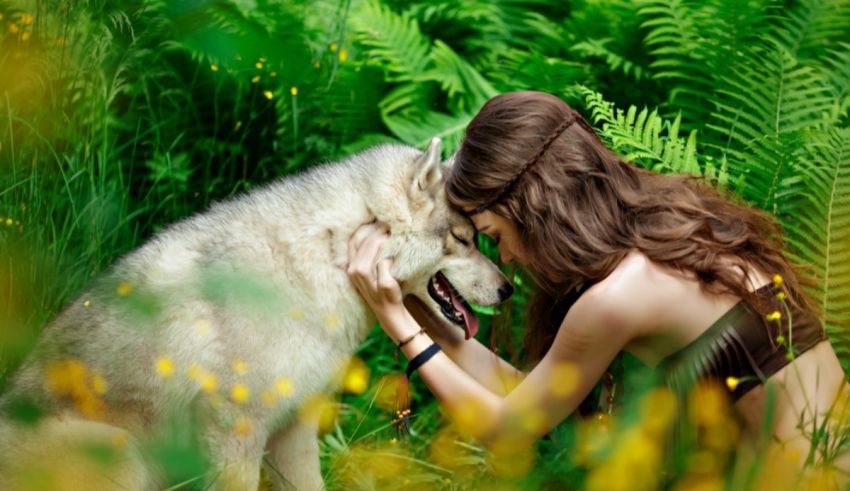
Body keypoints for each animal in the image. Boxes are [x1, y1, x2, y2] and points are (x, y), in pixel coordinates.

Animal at [0, 139, 510, 491]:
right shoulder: (235, 434)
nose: (507, 290)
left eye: (477, 238)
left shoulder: (294, 429)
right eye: (464, 239)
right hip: (122, 452)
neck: (325, 257)